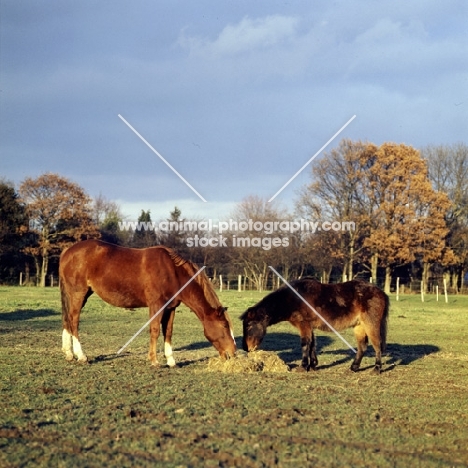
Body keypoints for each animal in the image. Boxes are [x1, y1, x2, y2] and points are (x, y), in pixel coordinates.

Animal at [58, 241, 236, 366]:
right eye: (224, 326)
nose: (232, 353)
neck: (173, 272)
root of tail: (68, 251)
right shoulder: (156, 306)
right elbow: (155, 330)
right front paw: (154, 361)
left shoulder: (170, 308)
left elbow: (168, 332)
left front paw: (171, 361)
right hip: (78, 294)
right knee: (74, 321)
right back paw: (81, 356)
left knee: (67, 320)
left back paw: (68, 354)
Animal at [239, 278, 390, 372]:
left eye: (248, 326)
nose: (246, 348)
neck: (293, 298)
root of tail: (381, 292)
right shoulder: (309, 326)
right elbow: (312, 345)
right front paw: (312, 366)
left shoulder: (304, 324)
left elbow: (305, 344)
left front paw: (303, 366)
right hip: (359, 327)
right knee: (362, 347)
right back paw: (353, 368)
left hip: (371, 325)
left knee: (377, 346)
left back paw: (376, 369)